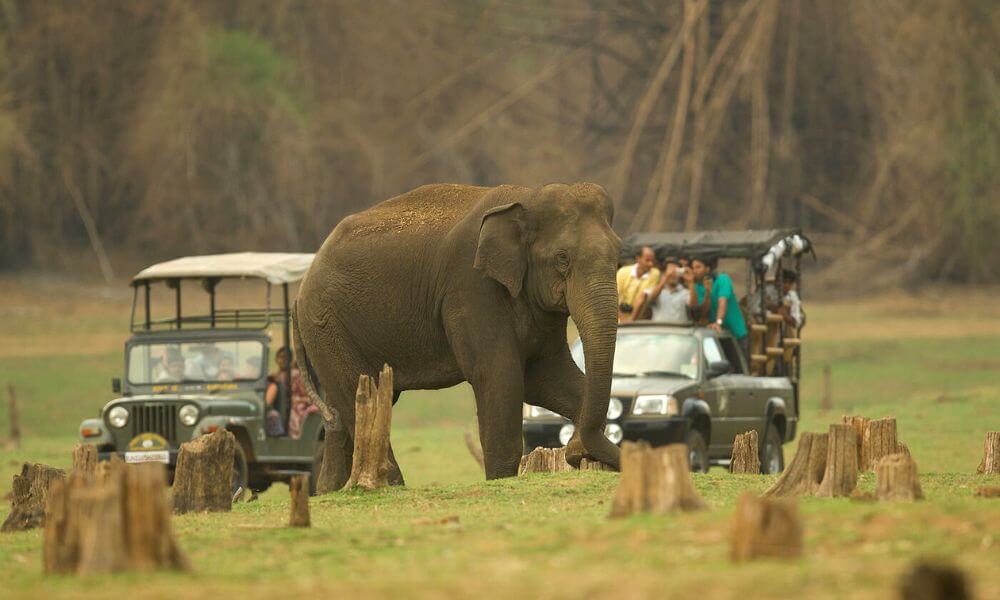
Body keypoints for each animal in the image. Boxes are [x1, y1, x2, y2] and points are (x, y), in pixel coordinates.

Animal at [292, 183, 616, 482]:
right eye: (562, 258)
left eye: (618, 251)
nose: (575, 452)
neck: (528, 195)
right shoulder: (471, 288)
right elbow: (498, 375)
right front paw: (501, 479)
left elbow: (547, 377)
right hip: (327, 324)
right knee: (356, 395)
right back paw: (389, 485)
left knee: (342, 418)